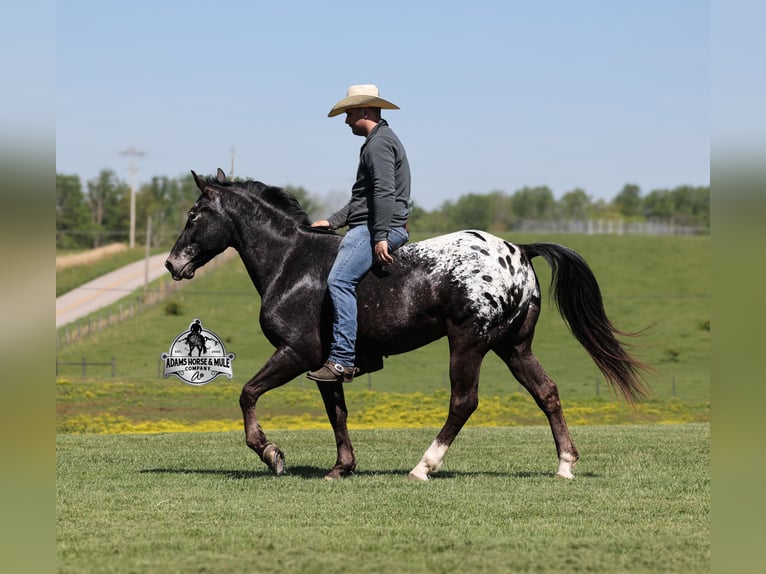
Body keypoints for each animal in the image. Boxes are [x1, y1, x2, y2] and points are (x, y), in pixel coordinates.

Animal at [165, 168, 649, 481]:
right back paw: (565, 465)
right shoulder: (326, 365)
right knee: (546, 393)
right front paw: (341, 468)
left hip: (468, 343)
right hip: (514, 347)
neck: (292, 263)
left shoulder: (295, 353)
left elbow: (248, 394)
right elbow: (337, 414)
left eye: (193, 214)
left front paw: (271, 453)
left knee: (463, 402)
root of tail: (519, 250)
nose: (172, 263)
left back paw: (424, 467)